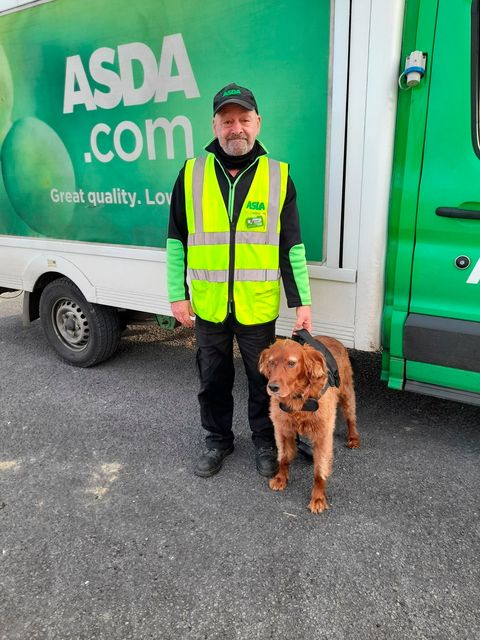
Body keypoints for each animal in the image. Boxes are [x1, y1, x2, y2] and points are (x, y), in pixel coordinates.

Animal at [258, 338, 360, 512]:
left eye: (291, 363)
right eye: (271, 362)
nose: (273, 387)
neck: (298, 400)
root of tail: (335, 340)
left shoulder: (322, 436)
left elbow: (319, 471)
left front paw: (318, 498)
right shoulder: (282, 429)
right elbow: (283, 458)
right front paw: (280, 479)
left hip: (347, 392)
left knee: (350, 416)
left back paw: (353, 438)